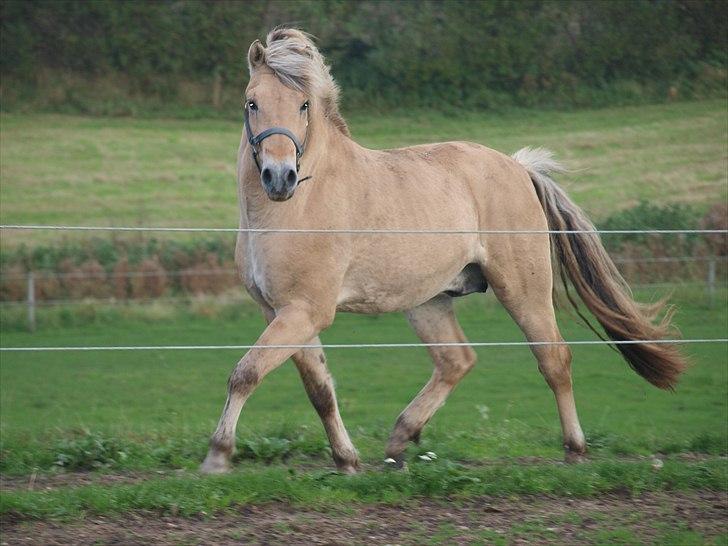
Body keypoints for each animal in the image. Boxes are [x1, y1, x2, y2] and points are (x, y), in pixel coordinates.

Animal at [199, 29, 684, 472]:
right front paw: (347, 460)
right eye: (251, 102)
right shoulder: (280, 310)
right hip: (428, 301)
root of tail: (518, 167)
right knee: (457, 361)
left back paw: (575, 451)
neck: (292, 208)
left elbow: (246, 373)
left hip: (522, 290)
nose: (278, 177)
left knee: (554, 358)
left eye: (302, 106)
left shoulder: (305, 310)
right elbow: (318, 388)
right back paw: (398, 442)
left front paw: (218, 456)